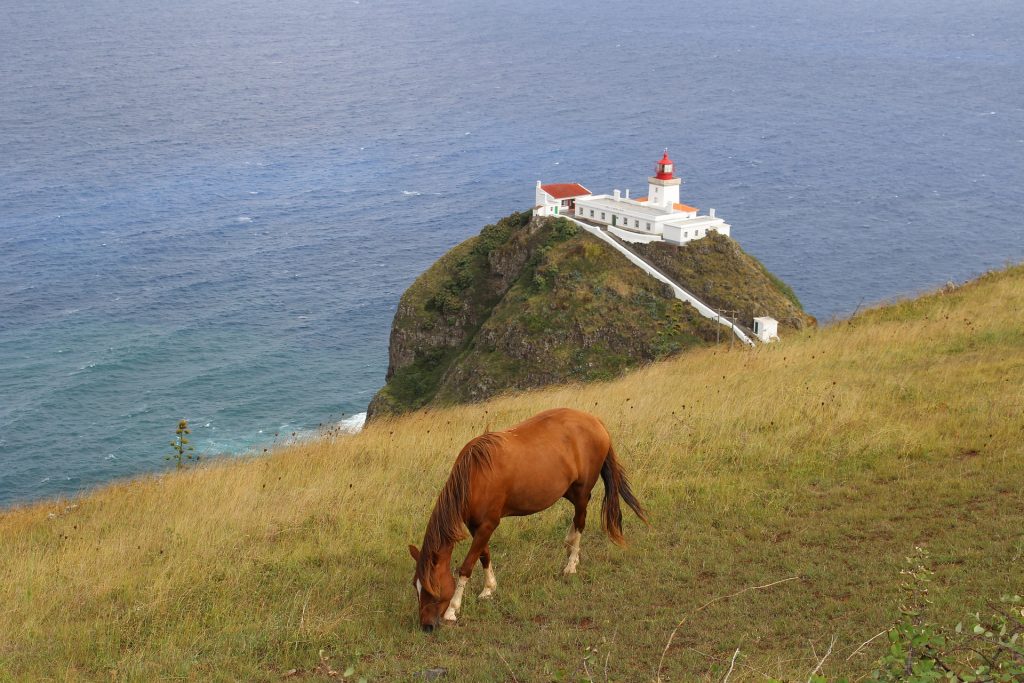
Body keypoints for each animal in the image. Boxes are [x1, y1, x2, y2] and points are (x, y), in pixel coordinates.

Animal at [407, 409, 647, 634]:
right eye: (415, 586)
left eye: (432, 588)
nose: (426, 626)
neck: (475, 476)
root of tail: (595, 421)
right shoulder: (477, 526)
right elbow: (484, 555)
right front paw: (489, 589)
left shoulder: (488, 524)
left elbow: (466, 566)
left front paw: (452, 610)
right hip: (567, 489)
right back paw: (571, 548)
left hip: (581, 489)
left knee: (581, 519)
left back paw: (571, 564)